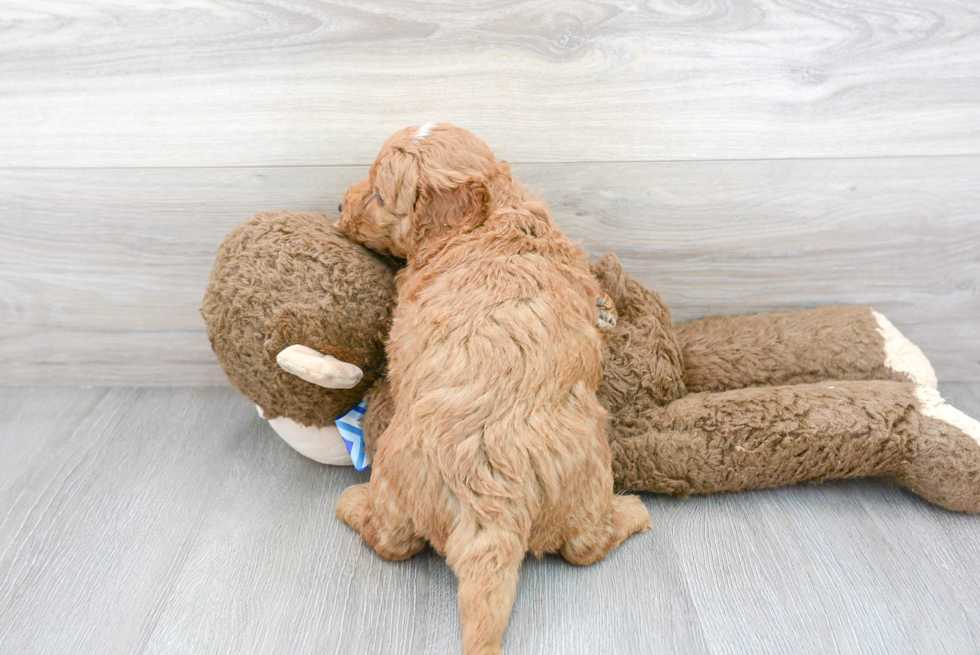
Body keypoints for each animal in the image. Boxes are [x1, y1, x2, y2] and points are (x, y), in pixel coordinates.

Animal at [336, 124, 652, 655]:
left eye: (379, 195)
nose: (339, 204)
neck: (489, 217)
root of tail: (492, 512)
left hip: (398, 479)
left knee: (393, 541)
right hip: (587, 469)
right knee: (583, 546)